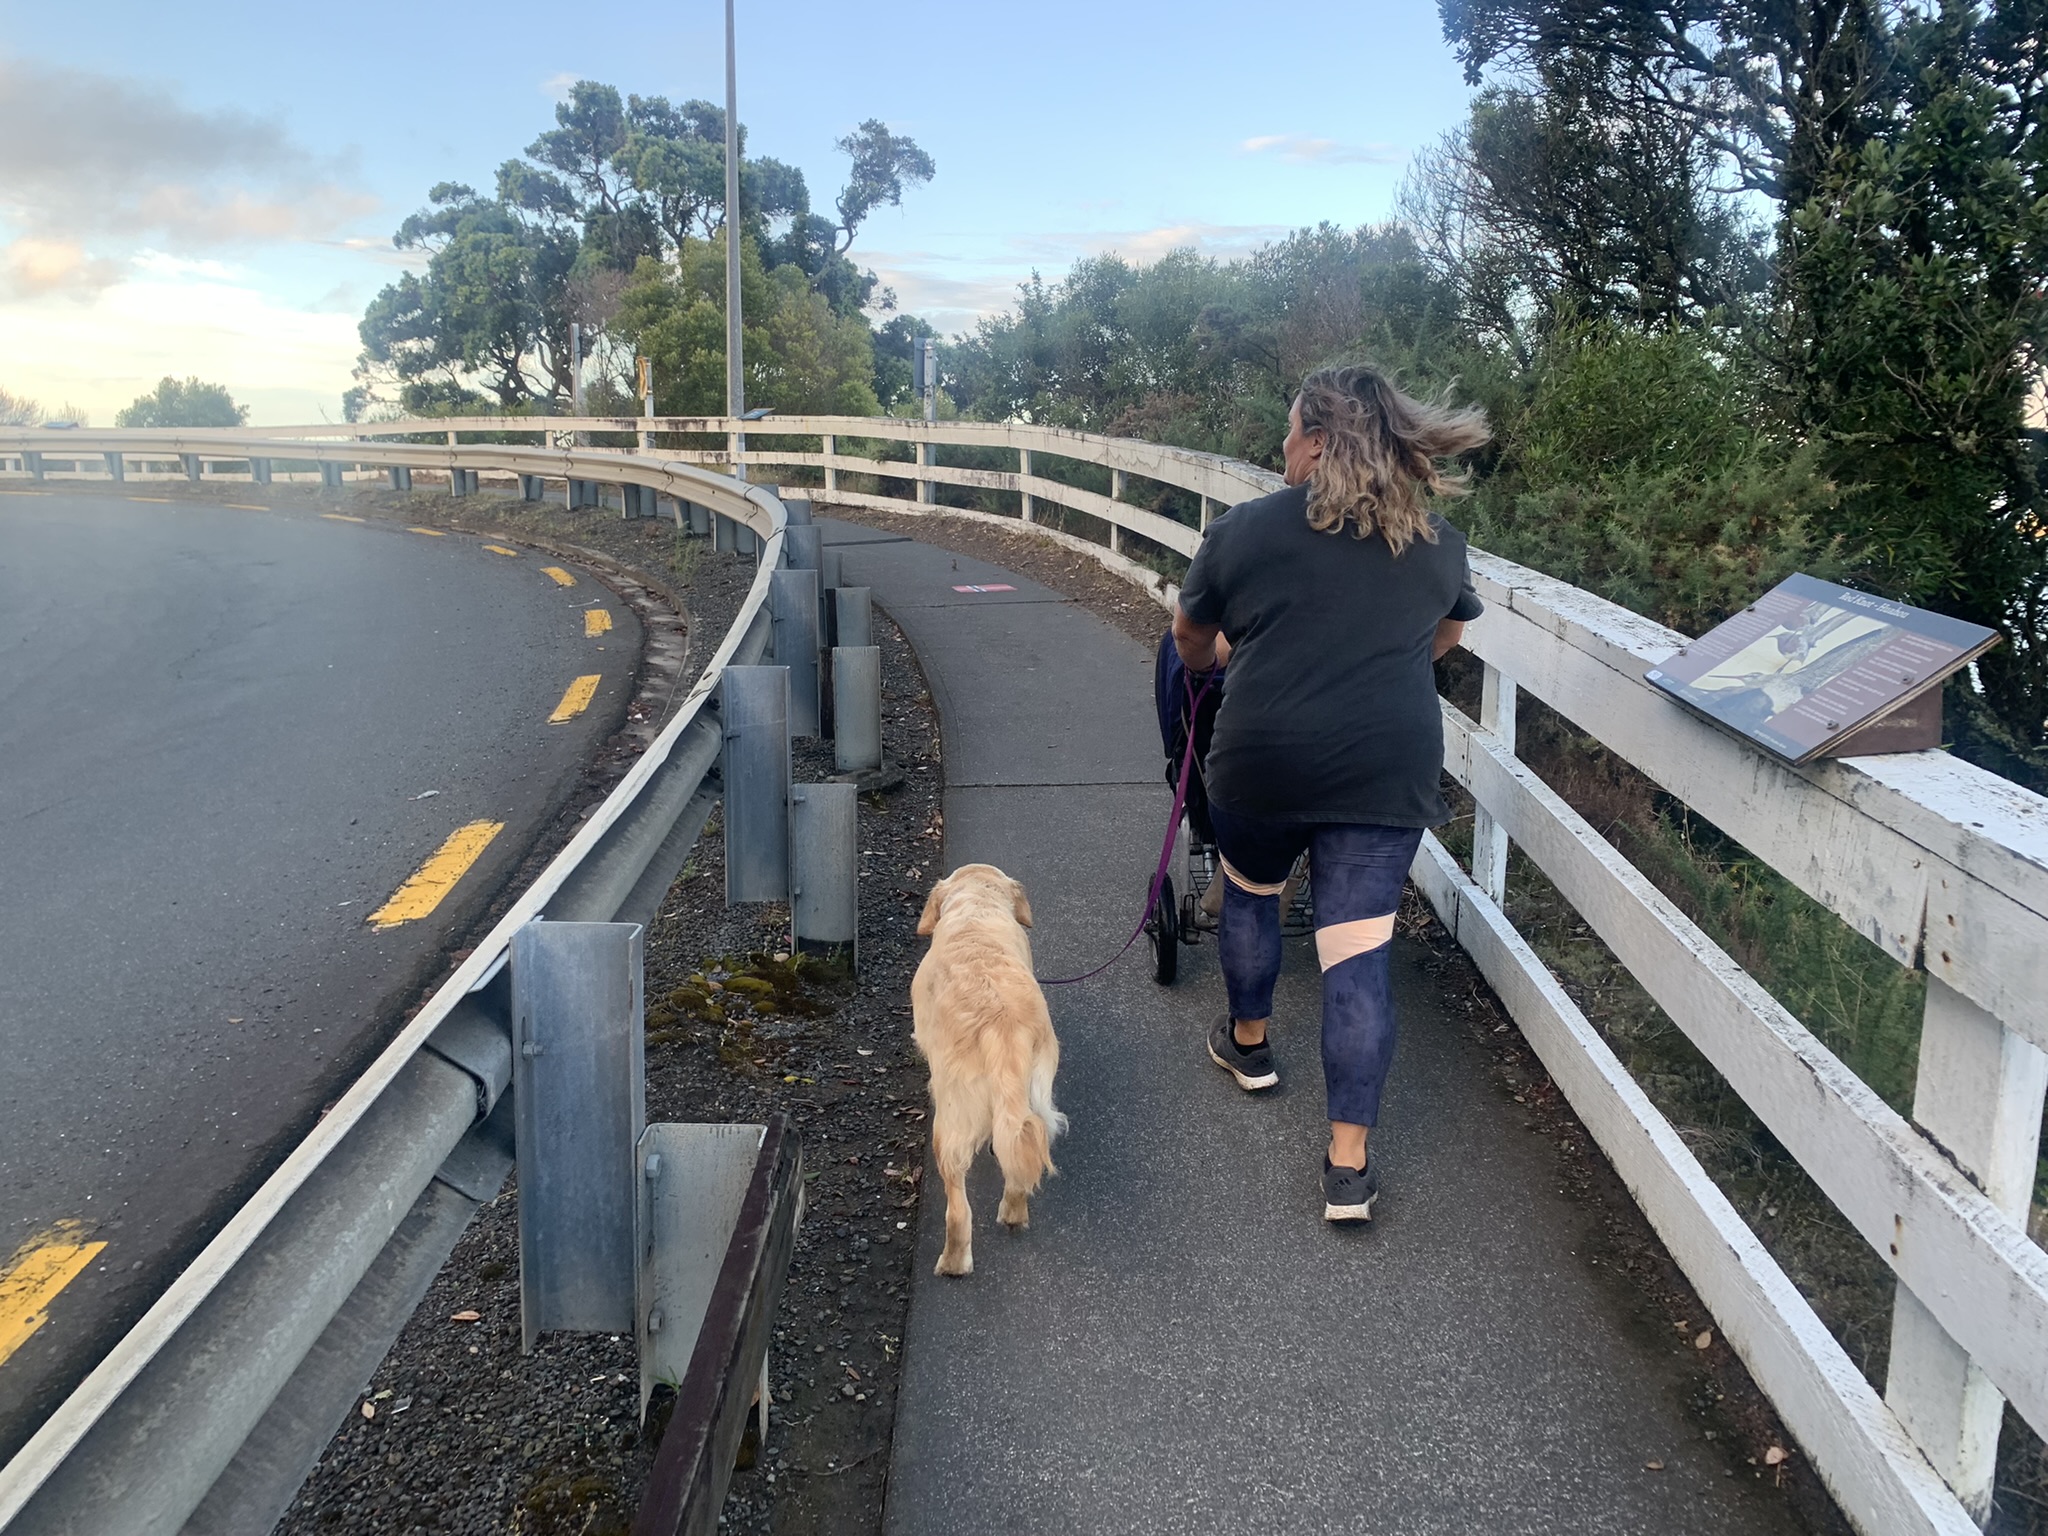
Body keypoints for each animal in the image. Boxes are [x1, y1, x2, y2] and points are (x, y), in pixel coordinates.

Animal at [917, 868, 1064, 1277]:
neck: (976, 909)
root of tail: (1001, 1024)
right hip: (1038, 1096)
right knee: (1022, 1149)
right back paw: (1014, 1211)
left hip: (951, 1120)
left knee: (957, 1206)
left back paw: (953, 1262)